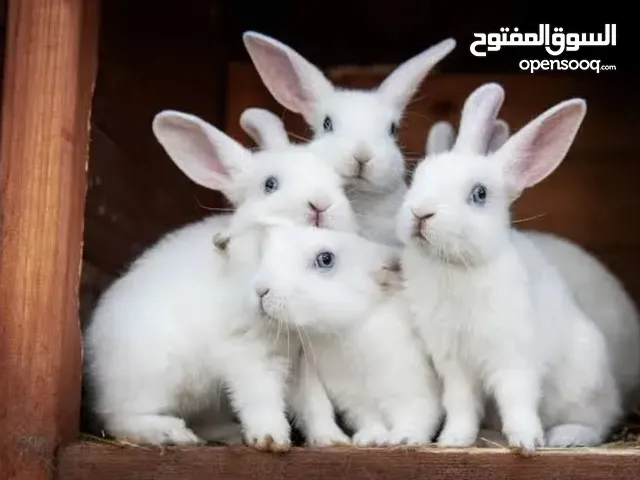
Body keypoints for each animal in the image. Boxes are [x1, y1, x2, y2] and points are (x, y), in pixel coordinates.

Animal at [83, 109, 359, 450]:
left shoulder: (305, 360)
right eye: (270, 184)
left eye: (341, 186)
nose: (320, 204)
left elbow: (315, 404)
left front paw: (332, 440)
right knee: (118, 418)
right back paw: (171, 433)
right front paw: (269, 438)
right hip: (152, 375)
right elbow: (260, 397)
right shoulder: (246, 350)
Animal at [244, 223, 442, 447]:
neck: (348, 331)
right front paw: (370, 439)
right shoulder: (356, 400)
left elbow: (417, 415)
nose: (261, 290)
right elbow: (370, 420)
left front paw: (402, 438)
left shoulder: (412, 388)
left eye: (326, 259)